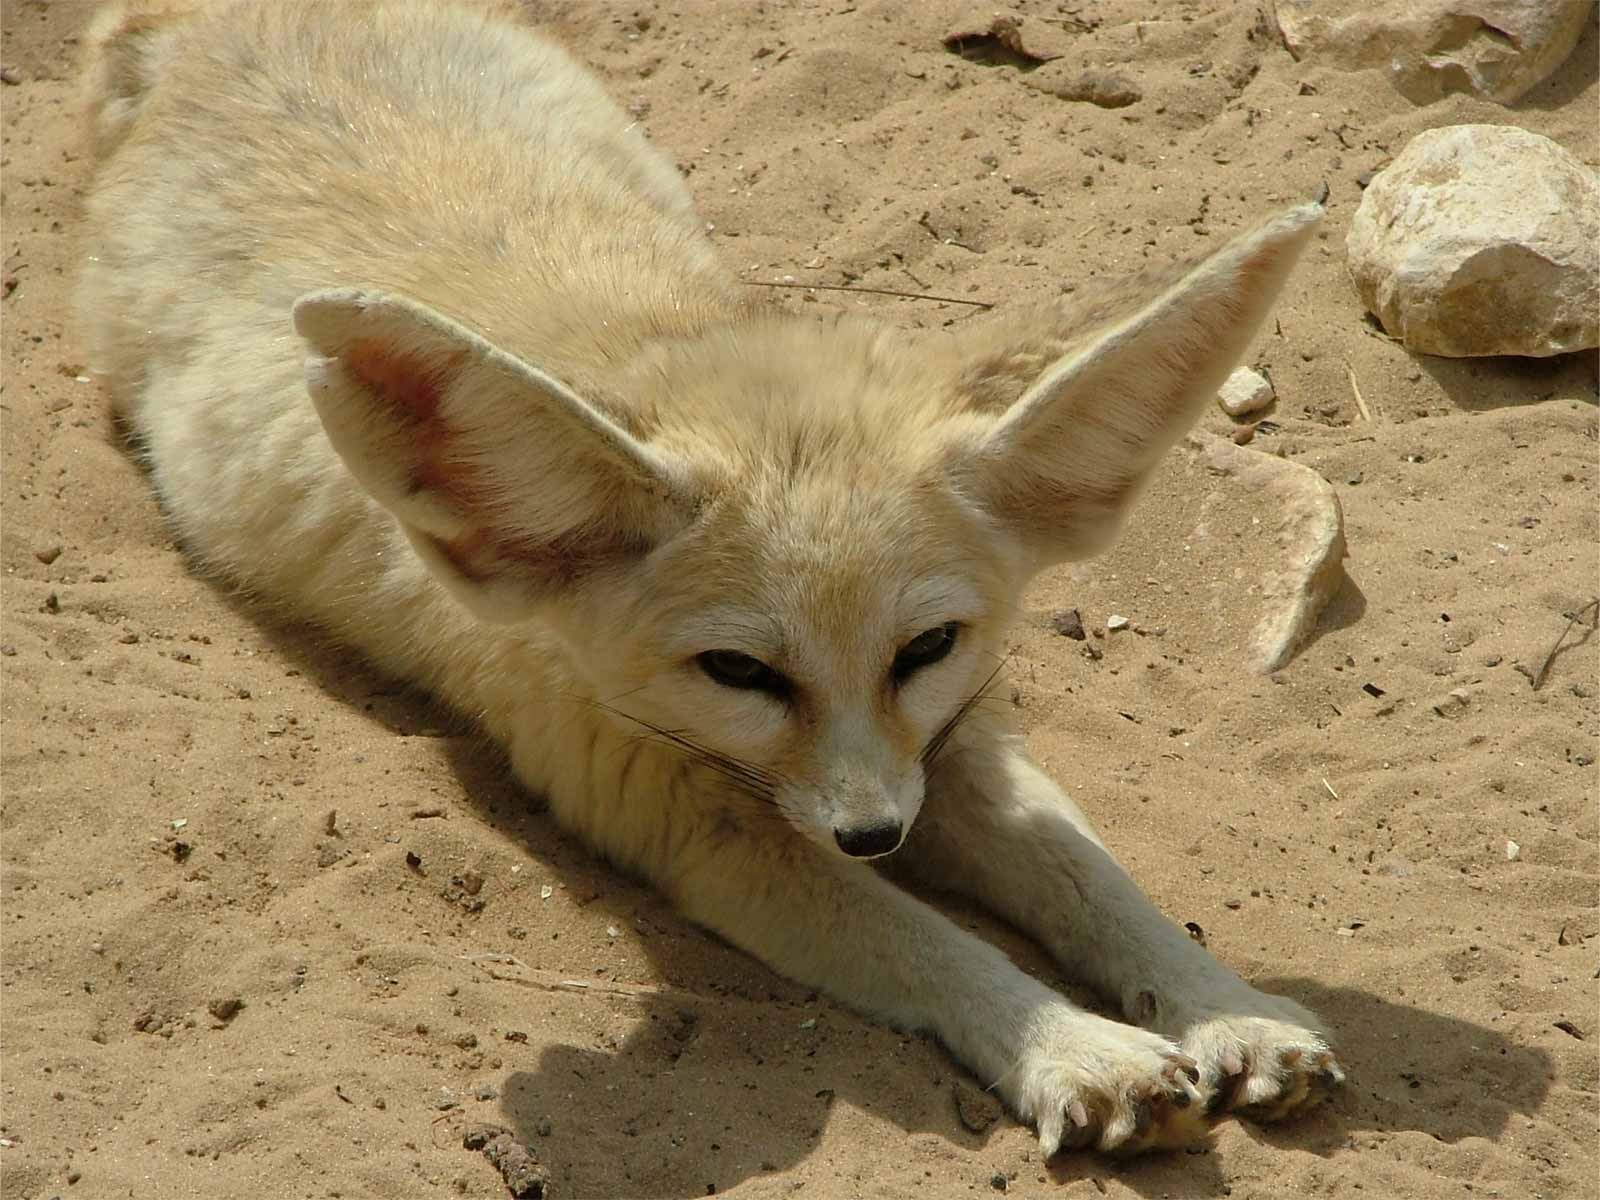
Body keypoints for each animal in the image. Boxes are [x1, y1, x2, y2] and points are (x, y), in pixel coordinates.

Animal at [81, 0, 1344, 1158]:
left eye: (925, 649)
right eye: (738, 672)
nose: (874, 835)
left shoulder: (949, 742)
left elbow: (1089, 876)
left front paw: (1226, 1008)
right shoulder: (686, 814)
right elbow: (929, 940)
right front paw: (1072, 1046)